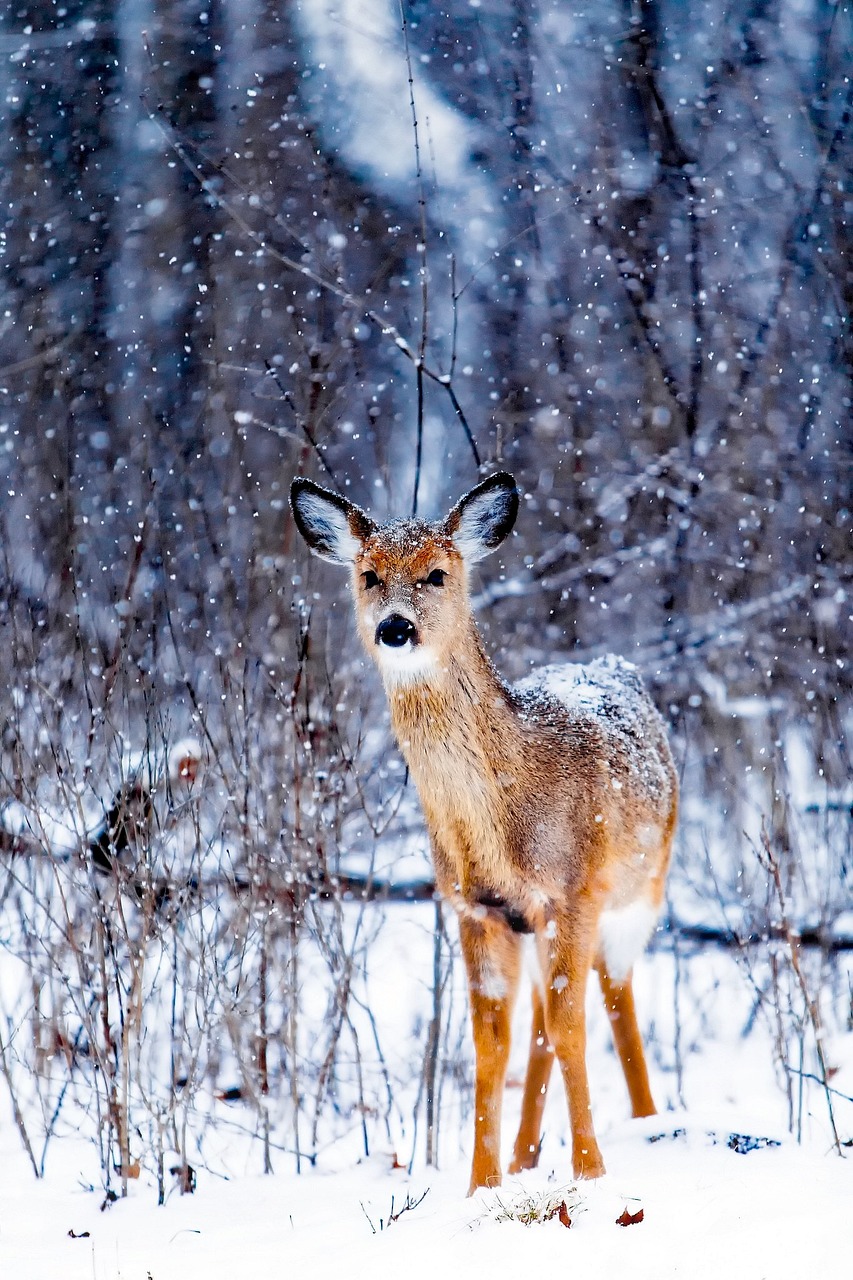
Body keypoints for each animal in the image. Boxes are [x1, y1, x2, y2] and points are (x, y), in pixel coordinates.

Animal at [290, 470, 678, 1192]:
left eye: (437, 573)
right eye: (369, 575)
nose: (394, 627)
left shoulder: (573, 891)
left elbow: (573, 1028)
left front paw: (591, 1173)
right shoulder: (476, 908)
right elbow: (491, 1045)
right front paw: (482, 1184)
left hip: (641, 889)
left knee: (614, 997)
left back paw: (646, 1121)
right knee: (541, 1022)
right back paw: (527, 1155)